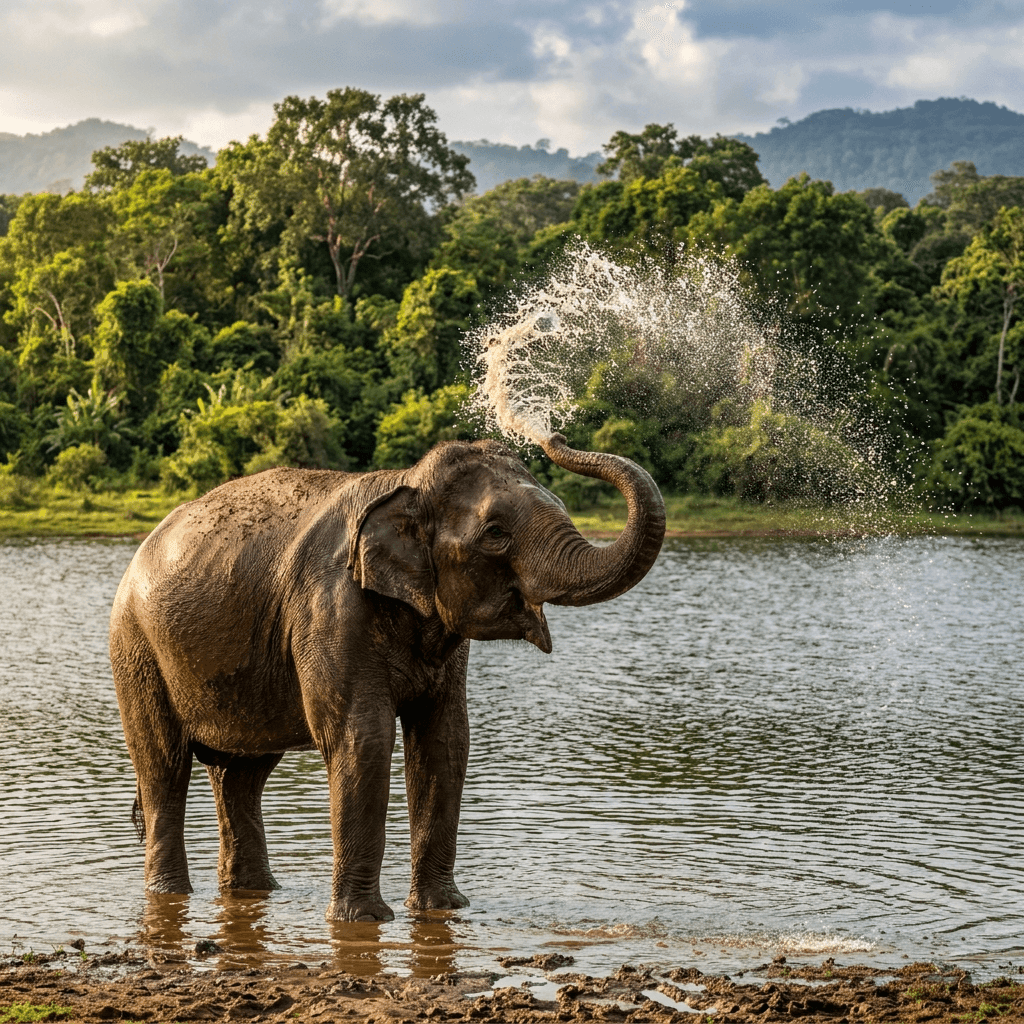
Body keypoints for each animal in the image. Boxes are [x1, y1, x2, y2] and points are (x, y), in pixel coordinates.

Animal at [109, 433, 665, 921]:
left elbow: (445, 741)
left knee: (241, 775)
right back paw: (171, 893)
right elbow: (364, 740)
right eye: (495, 534)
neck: (407, 483)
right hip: (135, 650)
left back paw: (252, 891)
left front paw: (444, 910)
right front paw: (365, 920)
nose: (553, 435)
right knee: (164, 767)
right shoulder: (330, 607)